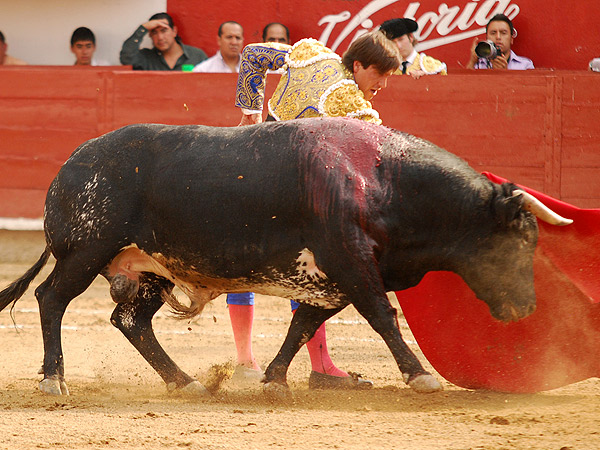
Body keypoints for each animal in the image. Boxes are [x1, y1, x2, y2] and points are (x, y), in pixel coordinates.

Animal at [0, 117, 571, 398]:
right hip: (86, 250)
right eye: (522, 241)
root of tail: (73, 163)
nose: (526, 308)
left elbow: (304, 326)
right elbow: (383, 317)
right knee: (51, 299)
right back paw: (53, 379)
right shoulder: (353, 264)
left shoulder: (333, 280)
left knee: (130, 320)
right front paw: (420, 376)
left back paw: (185, 382)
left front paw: (274, 378)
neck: (383, 181)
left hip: (147, 270)